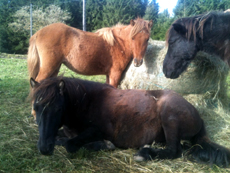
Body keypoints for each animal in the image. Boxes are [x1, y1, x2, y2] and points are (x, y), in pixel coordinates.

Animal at [29, 76, 230, 167]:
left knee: (174, 150)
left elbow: (70, 144)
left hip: (170, 117)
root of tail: (197, 113)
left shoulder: (98, 131)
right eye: (35, 108)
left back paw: (145, 153)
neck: (87, 102)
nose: (44, 149)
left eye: (58, 109)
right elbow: (64, 137)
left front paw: (105, 144)